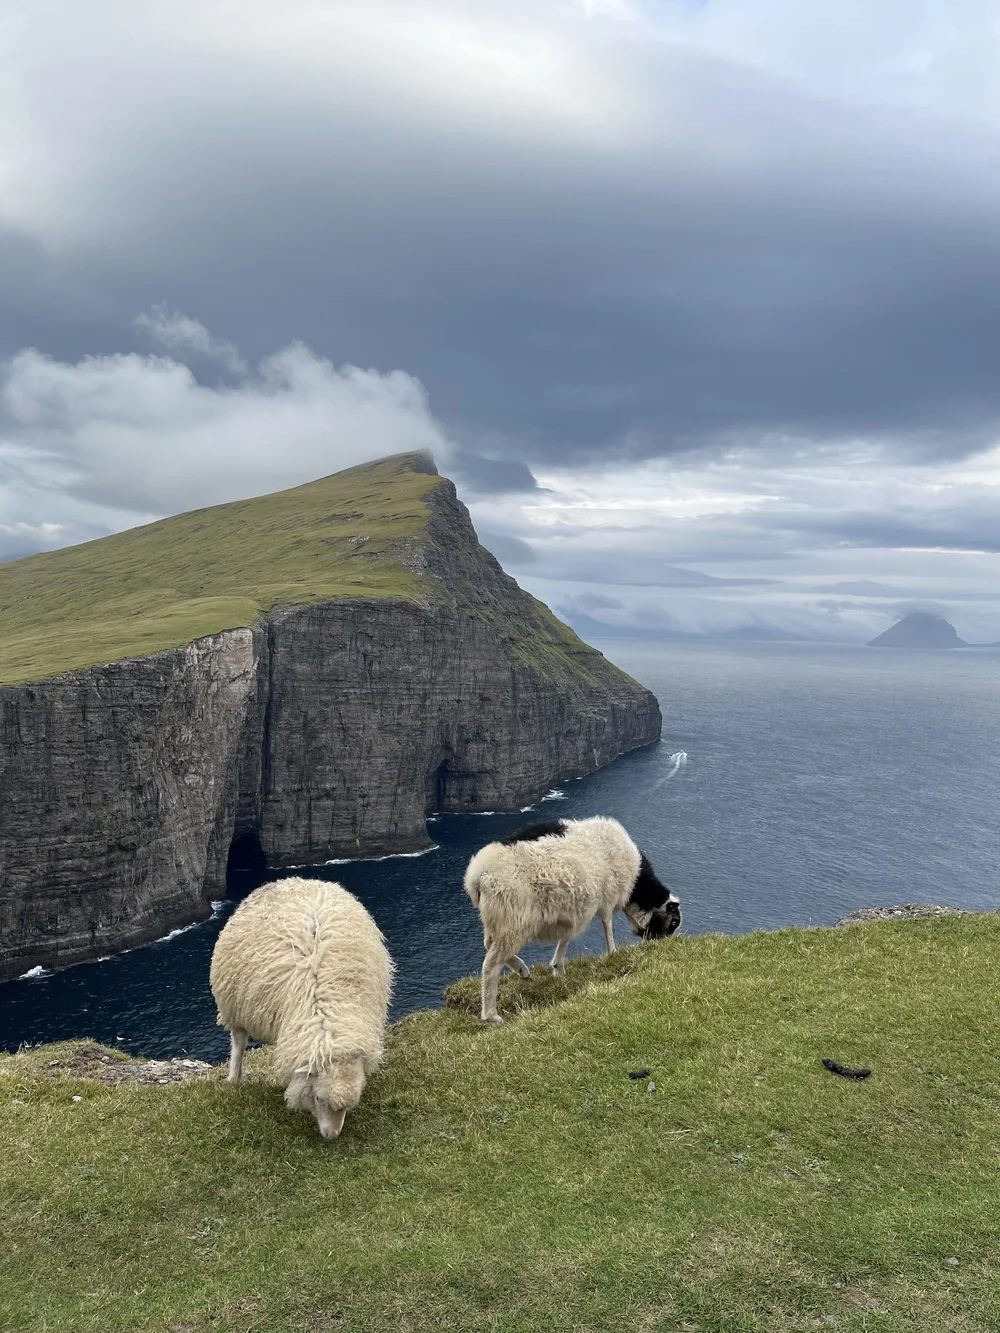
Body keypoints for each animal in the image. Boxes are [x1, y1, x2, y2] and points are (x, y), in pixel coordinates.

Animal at [209, 876, 393, 1139]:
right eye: (318, 1098)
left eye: (347, 1107)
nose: (331, 1137)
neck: (327, 1018)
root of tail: (294, 879)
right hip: (234, 1006)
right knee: (239, 1040)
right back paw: (234, 1077)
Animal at [464, 816, 680, 1025]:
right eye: (673, 923)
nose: (664, 946)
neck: (638, 887)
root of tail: (477, 876)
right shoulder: (607, 897)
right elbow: (607, 924)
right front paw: (613, 953)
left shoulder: (573, 909)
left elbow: (566, 936)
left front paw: (558, 968)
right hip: (514, 920)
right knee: (491, 965)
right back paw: (491, 1016)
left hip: (500, 920)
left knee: (489, 944)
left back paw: (521, 969)